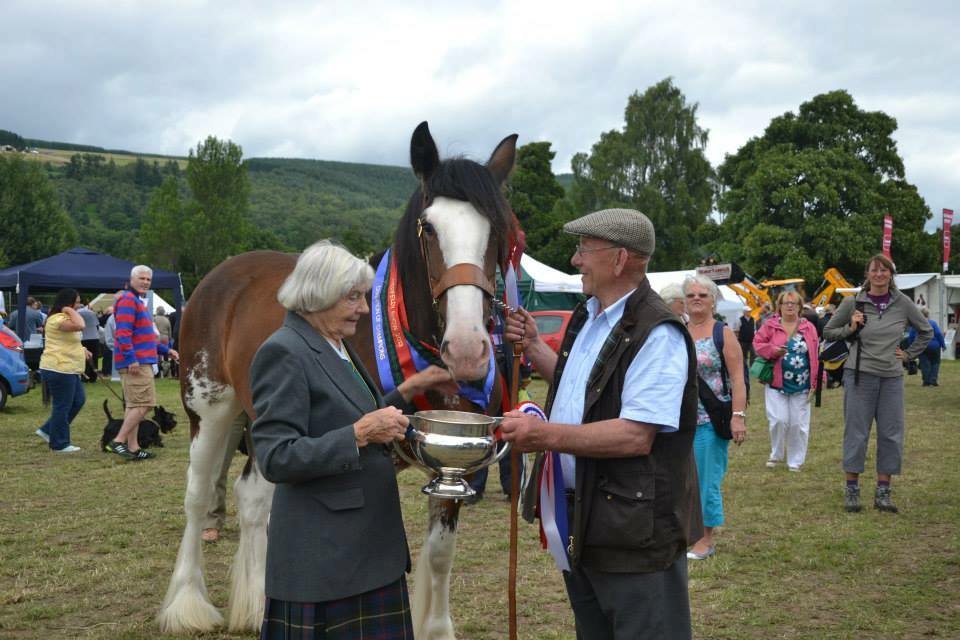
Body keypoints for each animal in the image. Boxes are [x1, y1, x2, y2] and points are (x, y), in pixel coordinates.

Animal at [157, 122, 518, 639]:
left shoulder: (452, 467)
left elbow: (439, 554)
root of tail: (221, 275)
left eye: (498, 230)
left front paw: (435, 627)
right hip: (210, 411)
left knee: (253, 497)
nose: (467, 349)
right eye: (429, 228)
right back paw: (189, 604)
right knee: (198, 495)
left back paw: (255, 604)